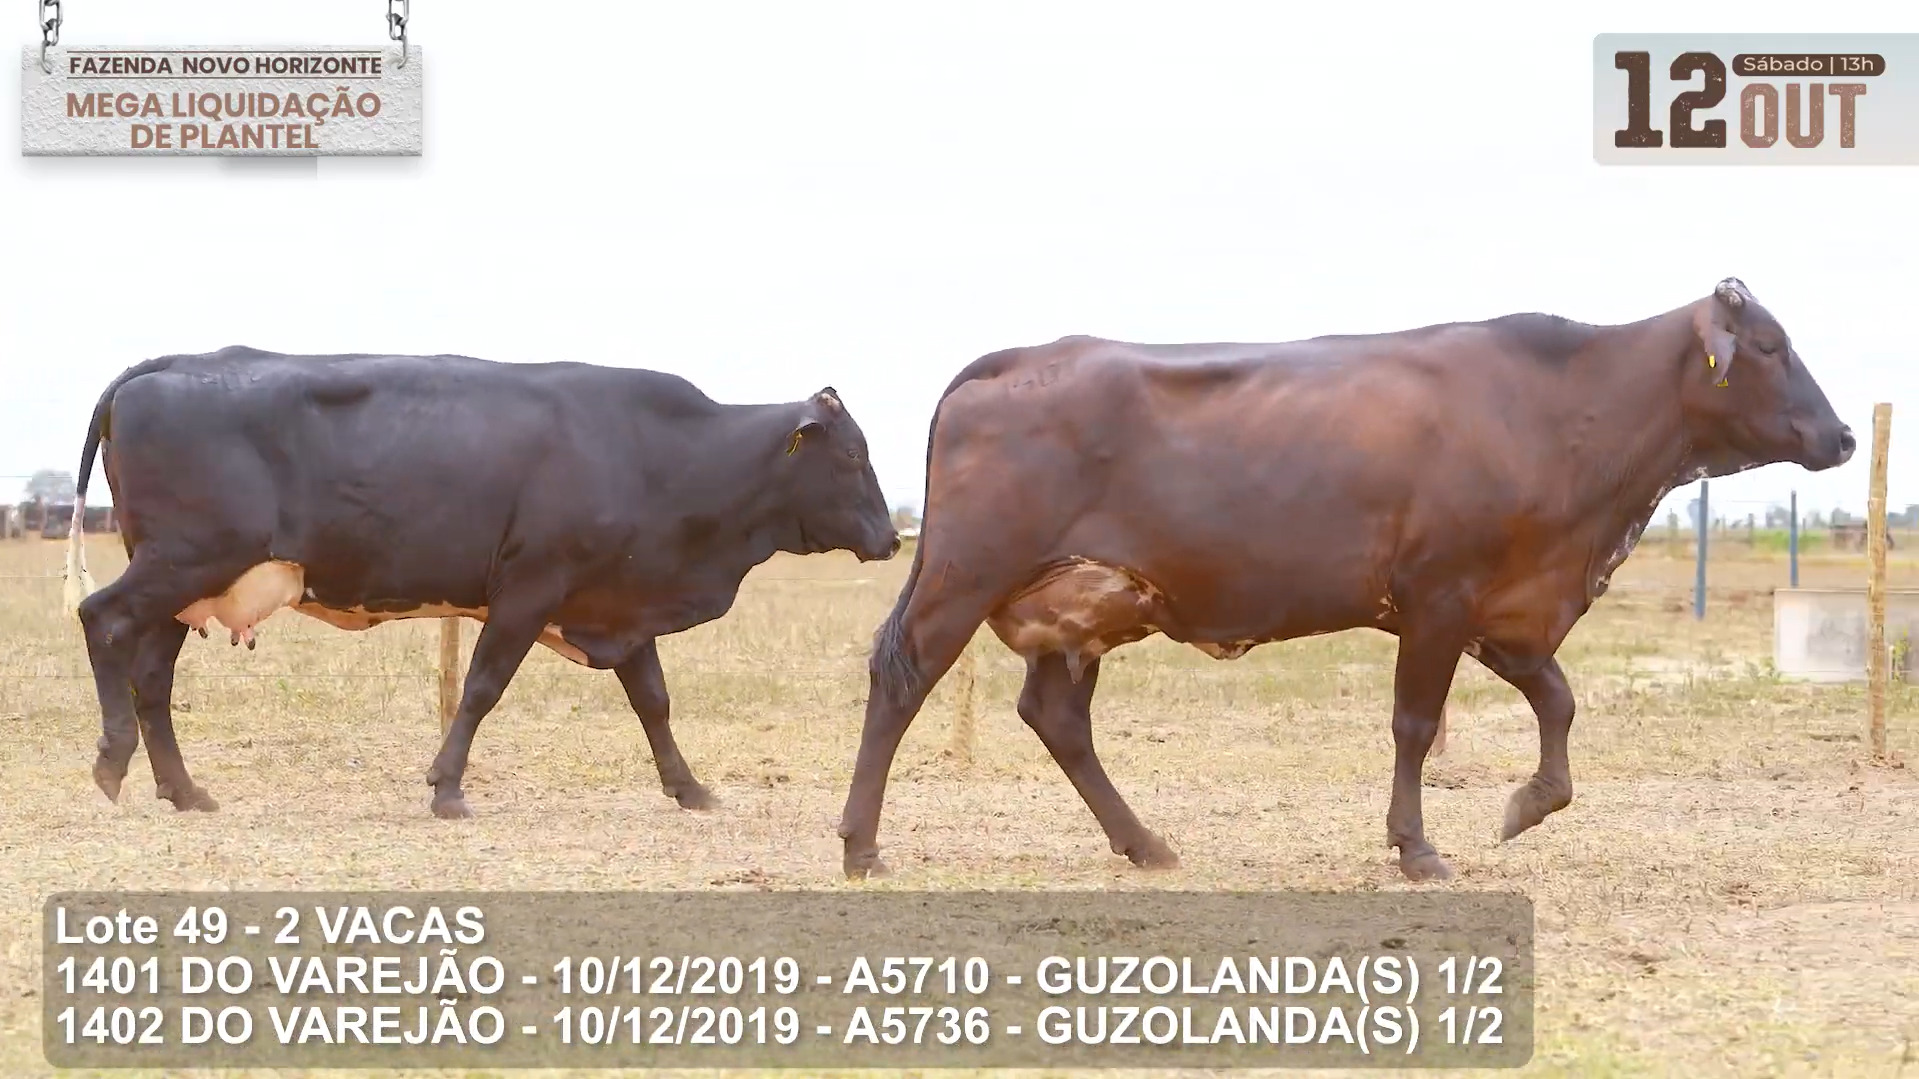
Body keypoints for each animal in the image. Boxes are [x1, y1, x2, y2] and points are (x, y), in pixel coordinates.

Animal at [63, 346, 900, 819]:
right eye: (851, 456)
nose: (891, 538)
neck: (658, 453)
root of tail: (163, 366)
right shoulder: (529, 590)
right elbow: (481, 687)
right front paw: (446, 787)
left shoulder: (617, 604)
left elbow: (654, 702)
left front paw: (689, 788)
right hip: (180, 561)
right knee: (101, 619)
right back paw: (110, 757)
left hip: (185, 586)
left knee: (153, 678)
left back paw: (183, 789)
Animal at [838, 279, 1855, 882]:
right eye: (1769, 347)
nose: (1842, 435)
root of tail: (1016, 357)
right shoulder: (1439, 597)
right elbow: (1415, 725)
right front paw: (1416, 846)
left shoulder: (1501, 608)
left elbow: (1558, 701)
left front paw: (1528, 804)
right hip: (963, 577)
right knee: (900, 681)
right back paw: (860, 845)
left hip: (1078, 607)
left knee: (1055, 717)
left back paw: (1146, 843)